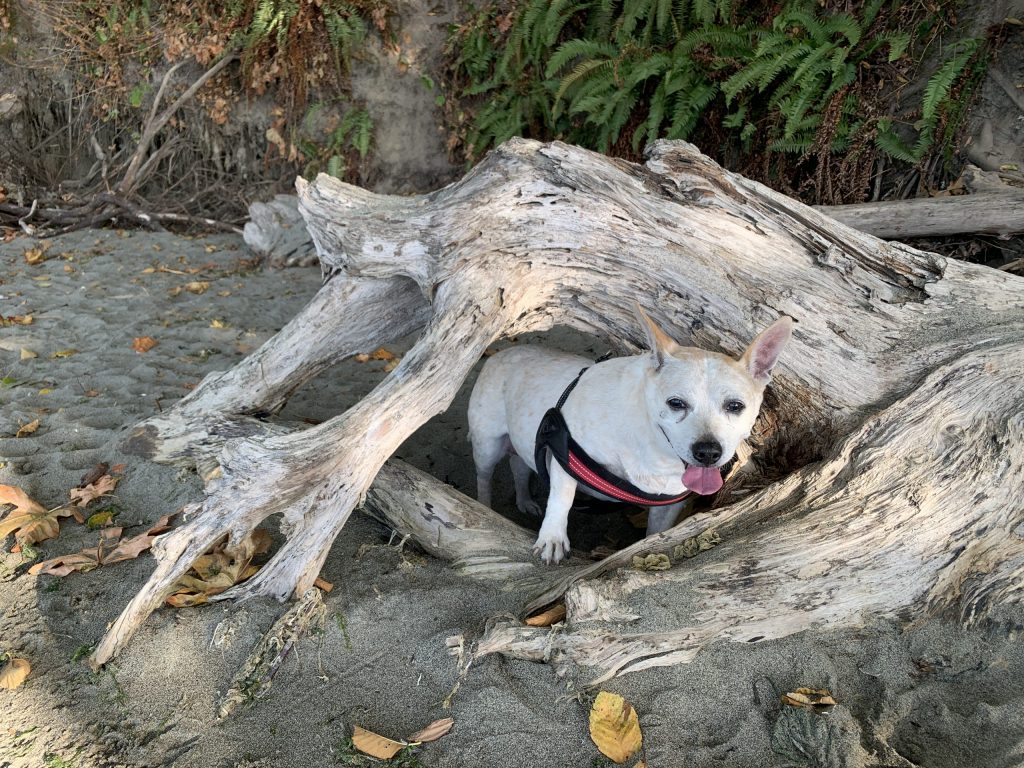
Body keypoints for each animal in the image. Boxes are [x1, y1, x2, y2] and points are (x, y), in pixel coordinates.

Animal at [468, 307, 794, 565]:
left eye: (735, 406)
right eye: (676, 403)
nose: (708, 452)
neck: (654, 450)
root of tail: (504, 351)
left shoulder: (670, 504)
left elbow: (655, 533)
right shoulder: (566, 455)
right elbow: (562, 498)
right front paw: (552, 538)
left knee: (520, 465)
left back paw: (525, 501)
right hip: (487, 447)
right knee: (484, 477)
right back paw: (485, 508)